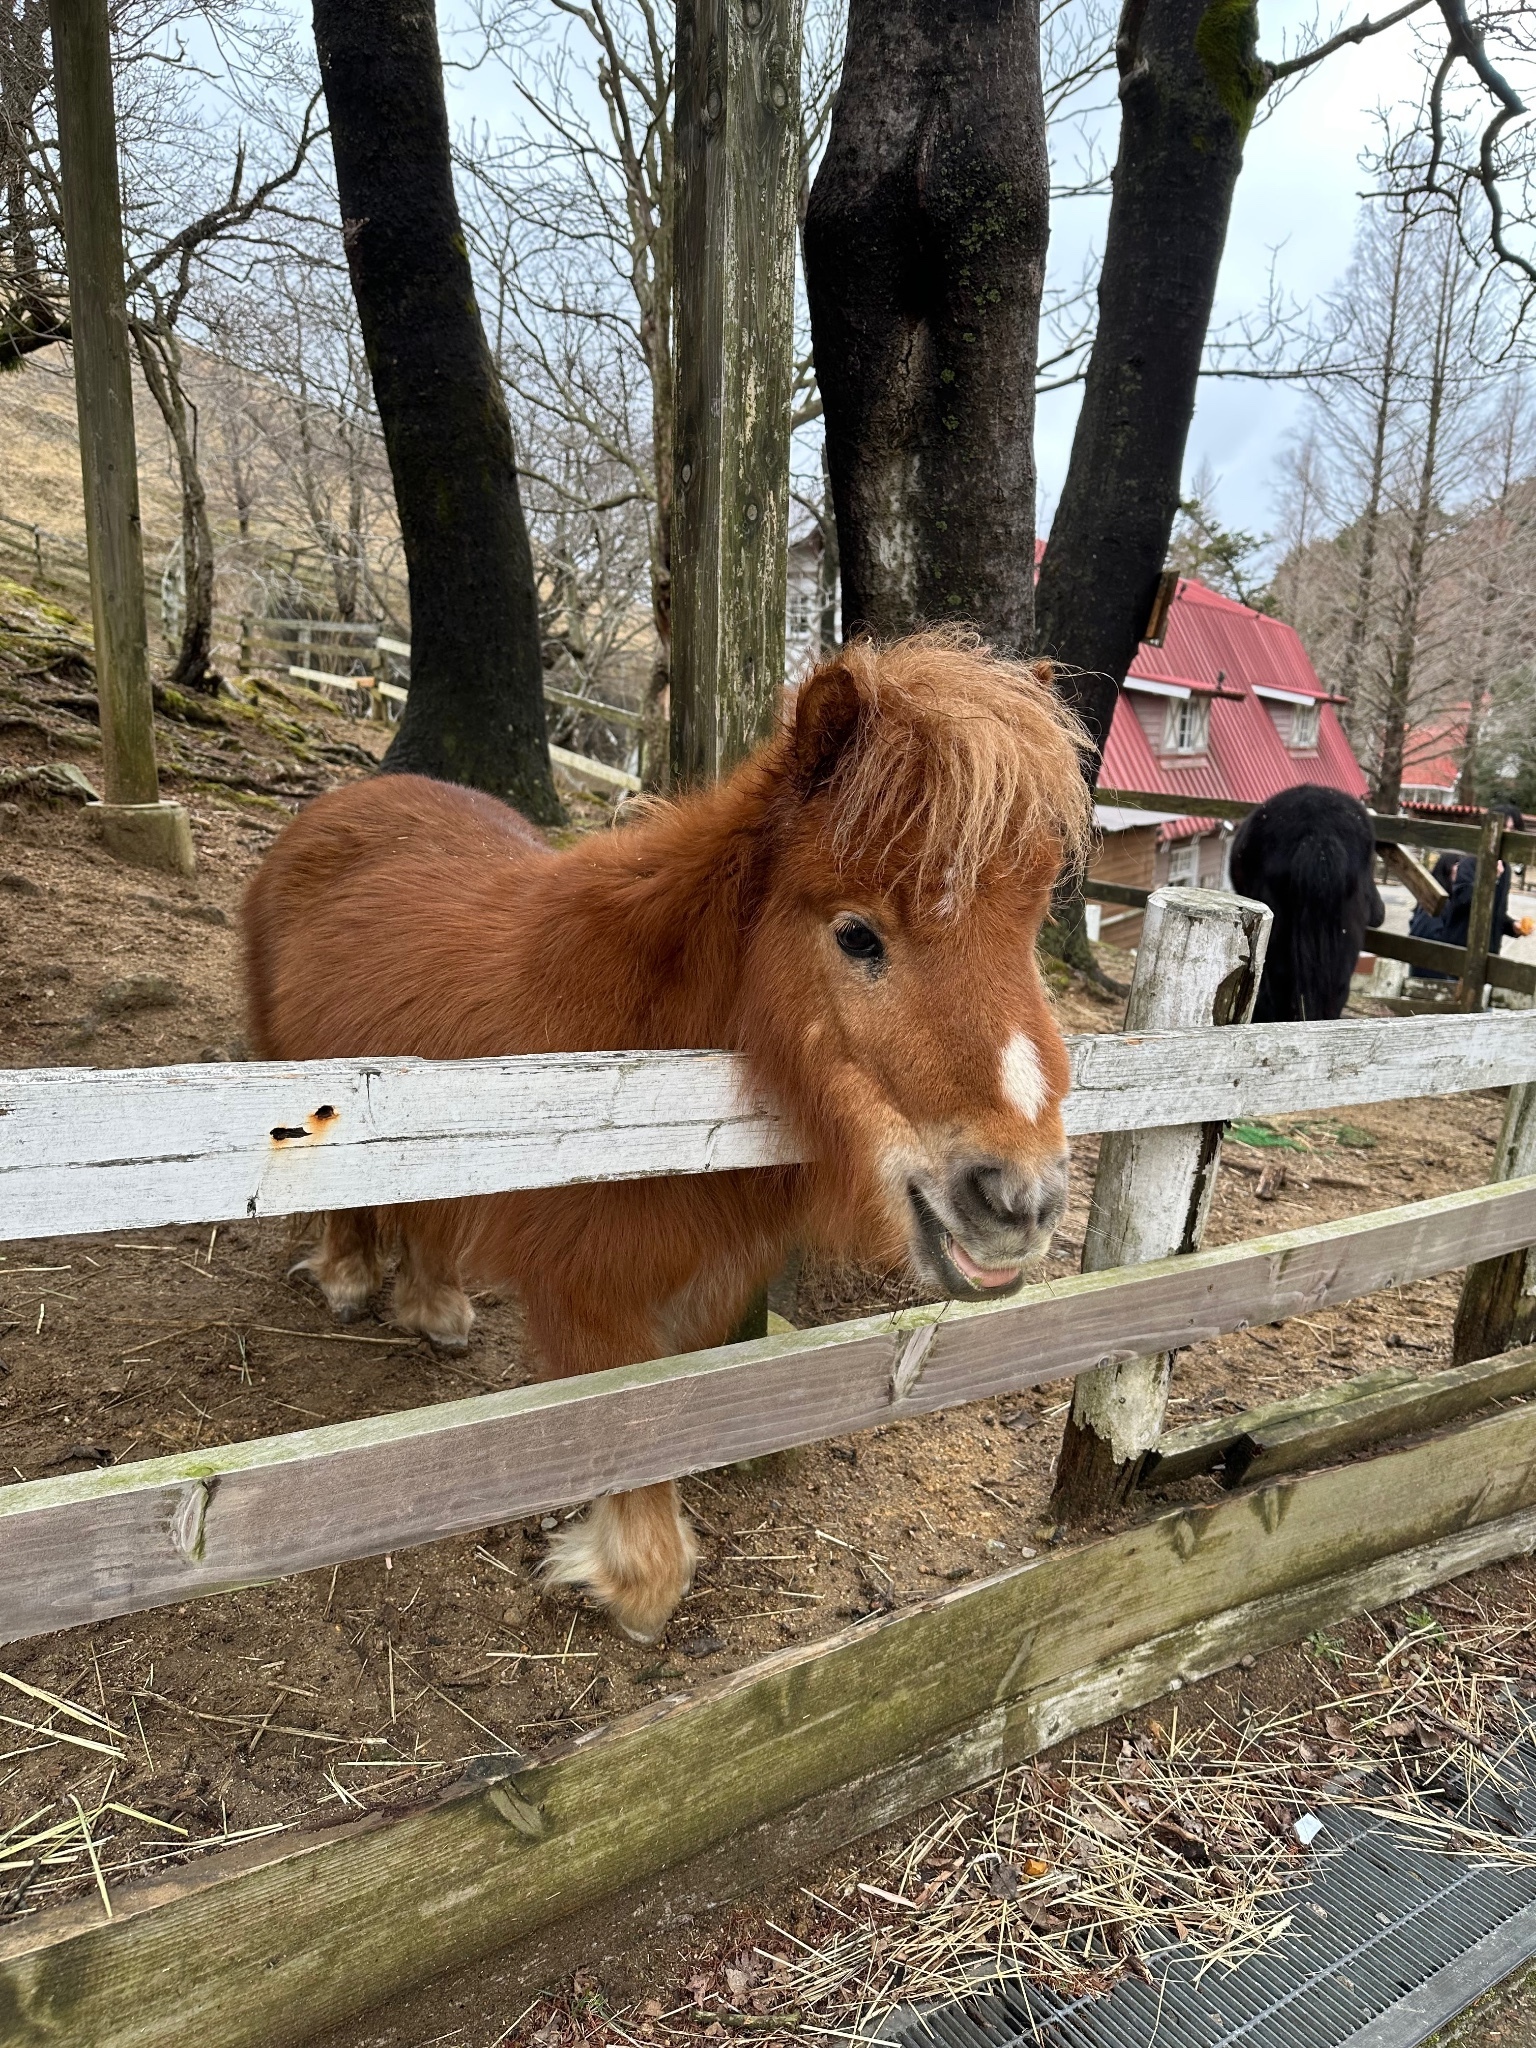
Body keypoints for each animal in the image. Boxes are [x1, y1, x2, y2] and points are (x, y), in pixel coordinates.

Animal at [243, 630, 1097, 1638]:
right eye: (857, 935)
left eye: (1028, 933)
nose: (1021, 1203)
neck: (644, 1060)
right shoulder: (590, 1297)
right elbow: (639, 1467)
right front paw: (619, 1584)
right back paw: (346, 1279)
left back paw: (434, 1305)